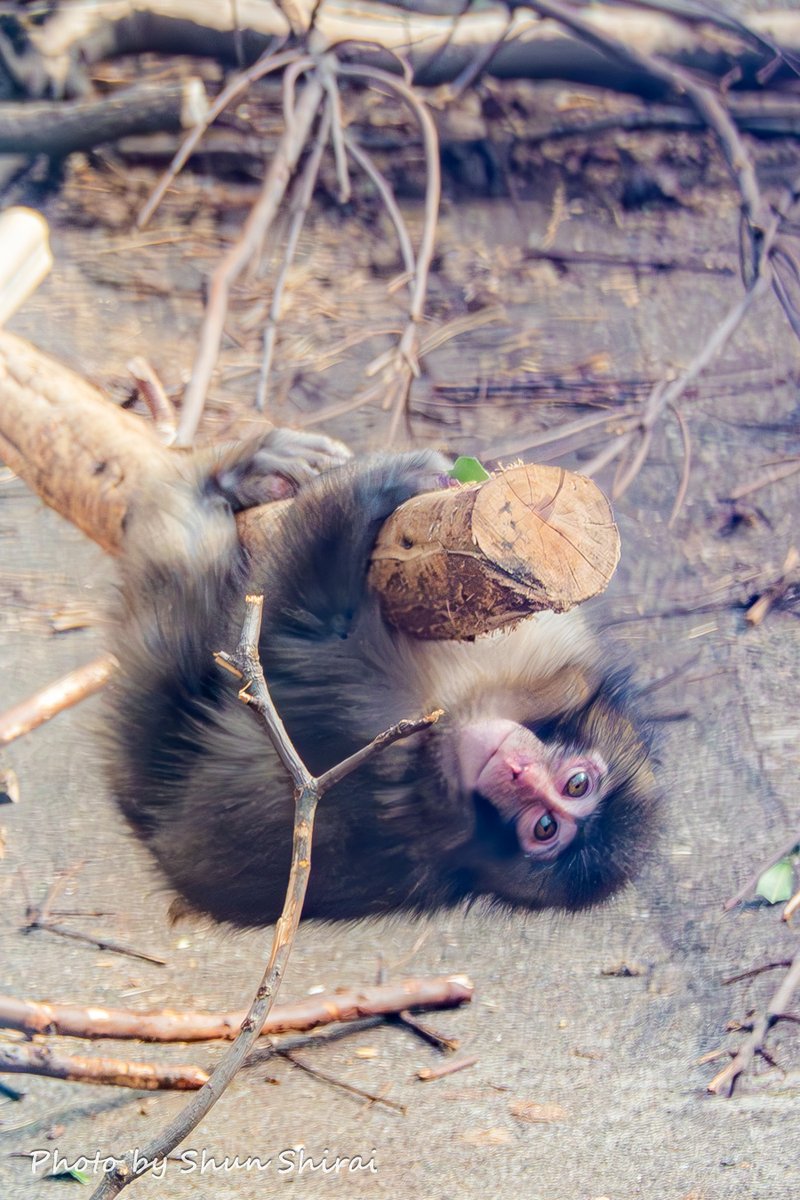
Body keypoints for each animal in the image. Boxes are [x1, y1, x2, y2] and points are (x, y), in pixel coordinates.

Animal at [107, 430, 658, 926]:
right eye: (579, 783)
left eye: (544, 828)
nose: (518, 773)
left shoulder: (388, 744)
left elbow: (300, 626)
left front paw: (380, 486)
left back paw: (214, 484)